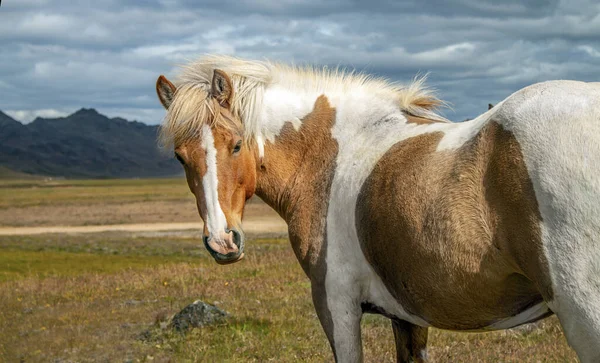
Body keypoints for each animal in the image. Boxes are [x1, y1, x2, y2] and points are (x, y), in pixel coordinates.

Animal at [156, 55, 600, 362]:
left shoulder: (338, 306)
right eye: (179, 156)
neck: (328, 153)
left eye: (235, 145)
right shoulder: (407, 318)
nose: (222, 241)